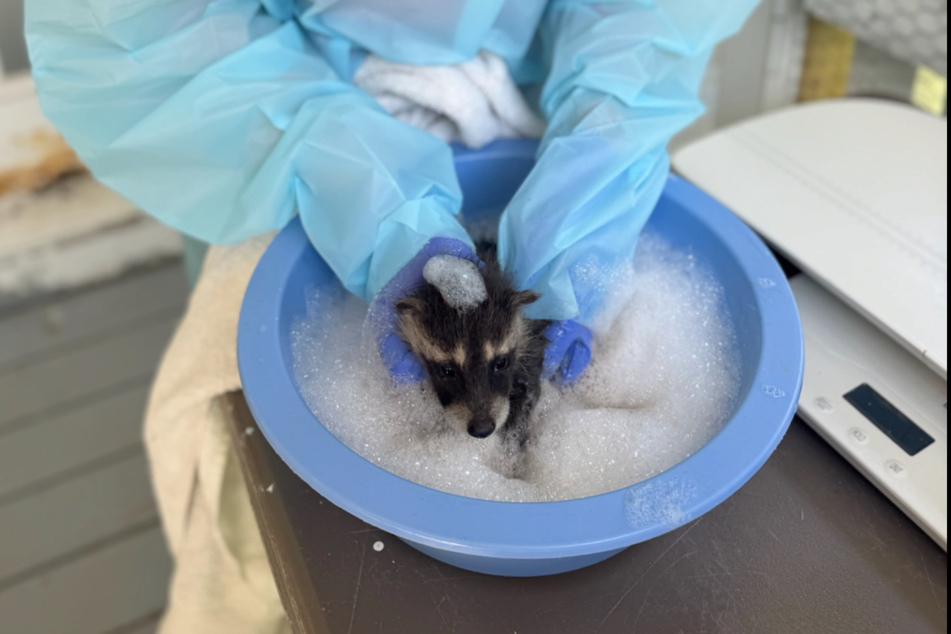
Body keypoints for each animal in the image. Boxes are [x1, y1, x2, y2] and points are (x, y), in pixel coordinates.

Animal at [395, 246, 549, 447]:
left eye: (501, 363)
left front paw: (512, 441)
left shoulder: (531, 341)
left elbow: (528, 390)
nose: (482, 429)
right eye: (447, 370)